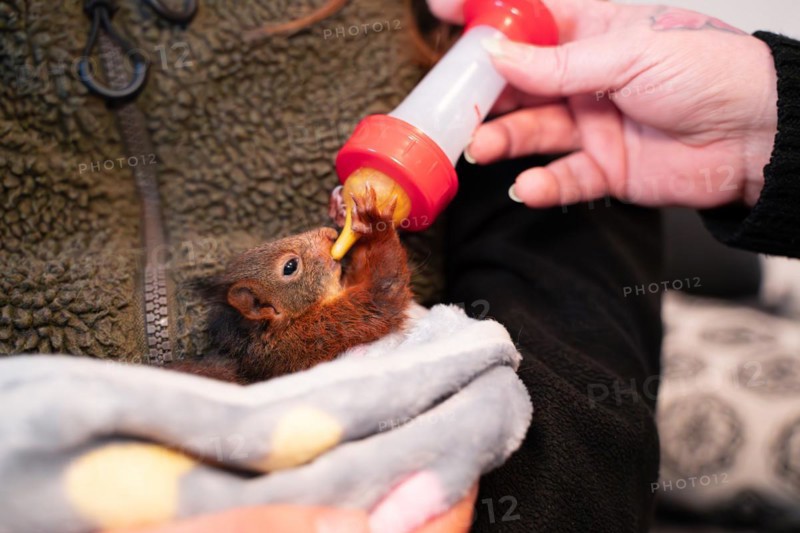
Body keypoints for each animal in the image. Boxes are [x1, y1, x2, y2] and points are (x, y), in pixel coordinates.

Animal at [170, 185, 413, 384]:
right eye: (290, 267)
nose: (331, 234)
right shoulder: (318, 332)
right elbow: (382, 293)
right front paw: (375, 224)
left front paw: (342, 210)